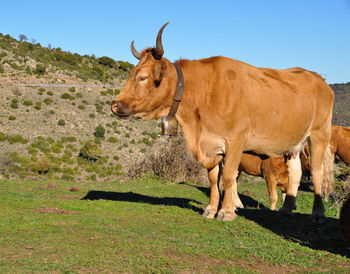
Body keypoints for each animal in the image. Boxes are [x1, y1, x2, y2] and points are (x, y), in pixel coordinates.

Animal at [111, 22, 334, 222]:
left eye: (142, 77)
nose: (114, 105)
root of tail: (319, 79)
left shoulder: (236, 141)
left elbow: (228, 176)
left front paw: (226, 212)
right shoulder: (212, 145)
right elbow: (212, 178)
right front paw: (211, 209)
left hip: (319, 135)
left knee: (317, 172)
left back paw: (318, 213)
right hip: (295, 143)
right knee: (295, 173)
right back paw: (286, 210)